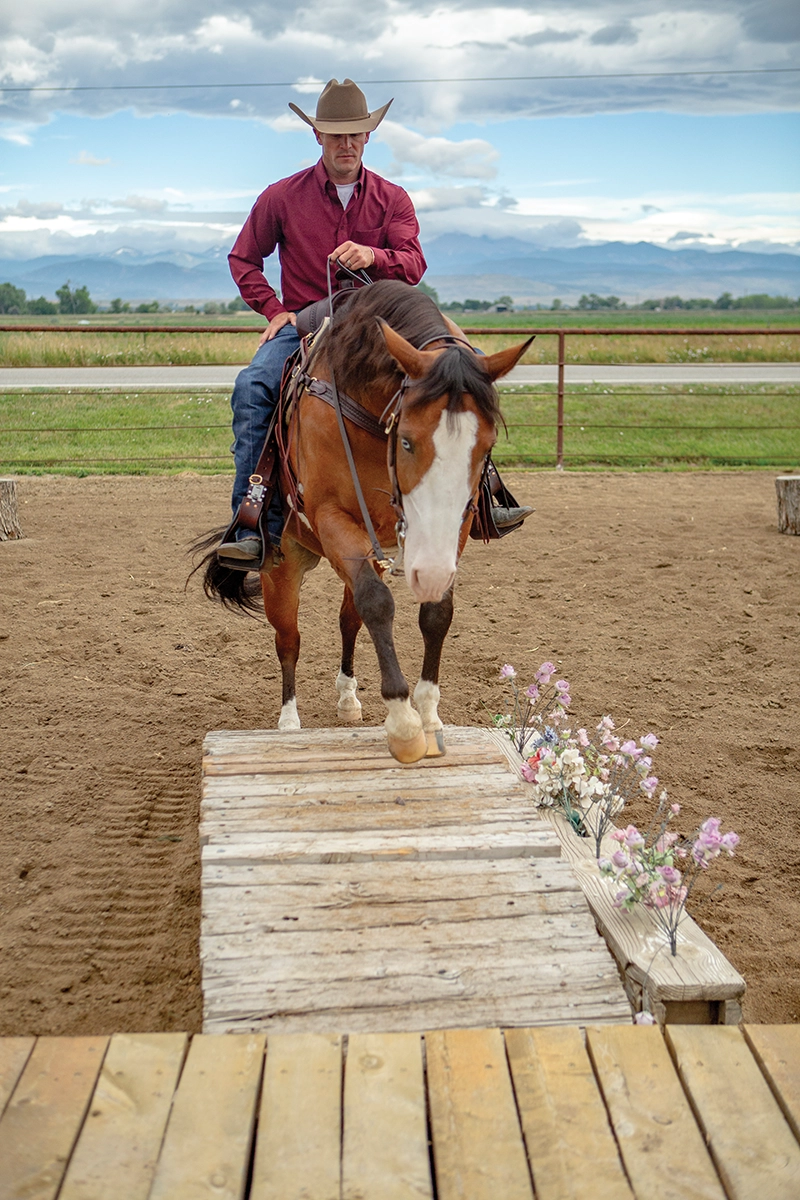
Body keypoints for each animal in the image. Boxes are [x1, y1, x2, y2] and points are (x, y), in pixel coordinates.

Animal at [198, 280, 531, 764]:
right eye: (407, 441)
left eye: (485, 446)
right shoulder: (332, 517)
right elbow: (377, 603)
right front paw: (404, 722)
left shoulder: (454, 529)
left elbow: (435, 612)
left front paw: (429, 716)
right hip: (284, 564)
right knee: (289, 639)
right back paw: (288, 723)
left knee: (347, 621)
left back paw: (348, 699)